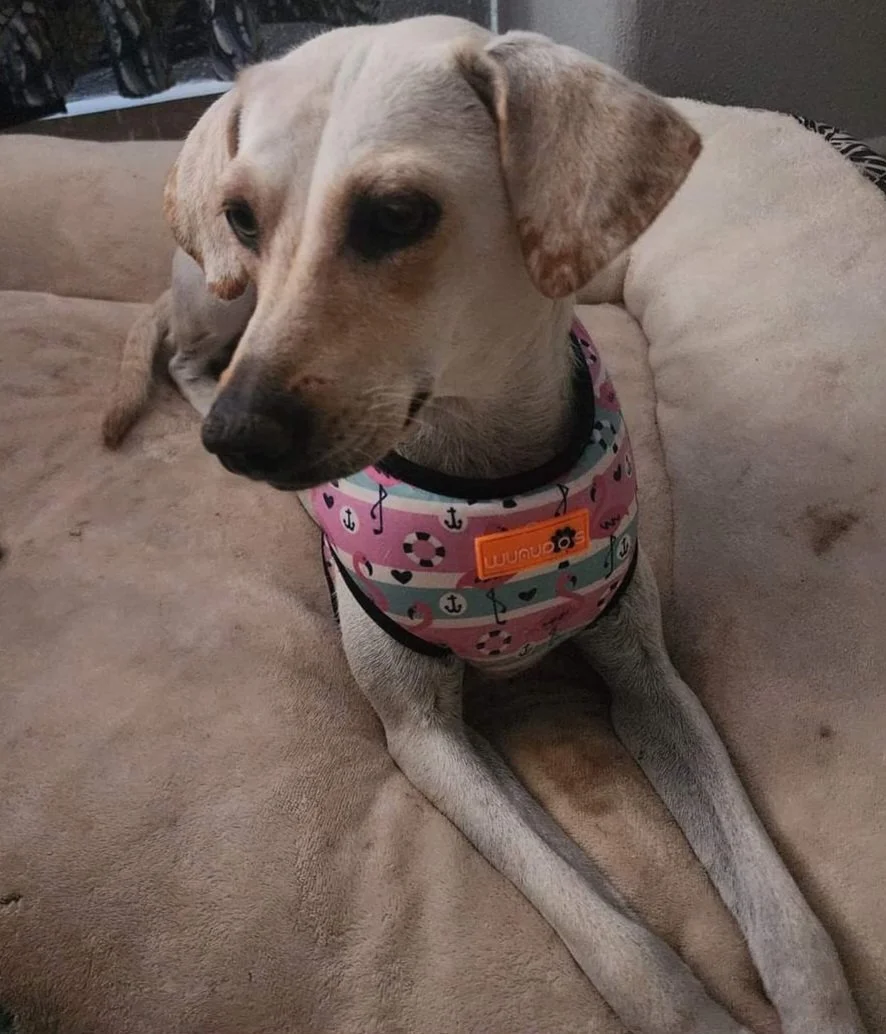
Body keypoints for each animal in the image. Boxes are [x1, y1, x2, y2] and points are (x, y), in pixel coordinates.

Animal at [104, 17, 866, 1034]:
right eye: (243, 218)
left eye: (395, 215)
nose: (238, 439)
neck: (486, 476)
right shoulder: (426, 737)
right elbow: (609, 929)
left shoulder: (650, 680)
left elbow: (783, 913)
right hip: (215, 300)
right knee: (187, 356)